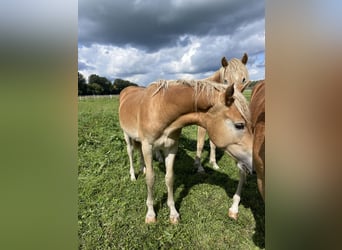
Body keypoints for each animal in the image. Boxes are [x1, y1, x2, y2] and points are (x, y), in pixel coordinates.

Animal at [119, 79, 252, 224]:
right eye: (239, 125)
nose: (254, 161)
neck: (161, 109)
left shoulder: (171, 148)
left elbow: (169, 178)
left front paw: (173, 213)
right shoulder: (147, 146)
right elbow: (150, 179)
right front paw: (150, 214)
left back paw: (143, 168)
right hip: (127, 136)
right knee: (130, 152)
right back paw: (133, 175)